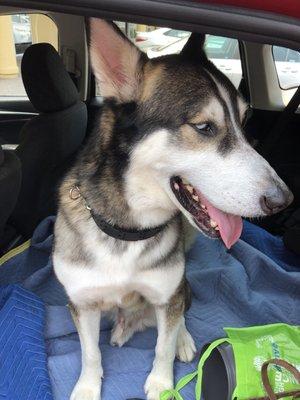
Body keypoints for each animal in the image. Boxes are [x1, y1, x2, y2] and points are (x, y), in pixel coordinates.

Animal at [52, 18, 292, 400]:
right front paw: (87, 387)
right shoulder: (83, 302)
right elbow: (90, 353)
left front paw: (162, 383)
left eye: (243, 123)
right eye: (204, 127)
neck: (128, 232)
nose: (283, 200)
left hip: (182, 288)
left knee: (178, 318)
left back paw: (183, 338)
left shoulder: (168, 294)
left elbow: (162, 345)